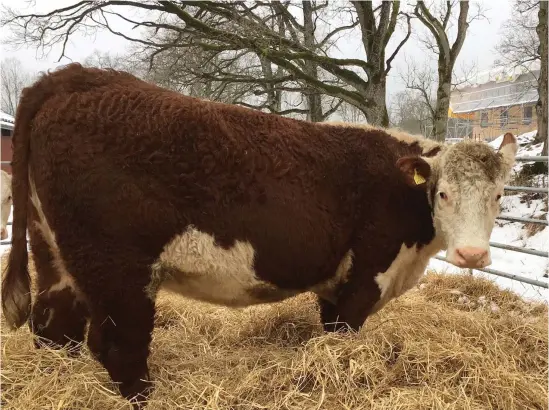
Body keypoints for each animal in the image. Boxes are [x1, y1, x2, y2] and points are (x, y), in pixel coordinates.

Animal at [0, 64, 512, 406]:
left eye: (499, 195)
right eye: (443, 193)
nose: (471, 254)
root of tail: (75, 76)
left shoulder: (336, 284)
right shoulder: (364, 278)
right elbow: (342, 337)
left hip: (56, 255)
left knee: (54, 327)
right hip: (116, 269)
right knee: (116, 345)